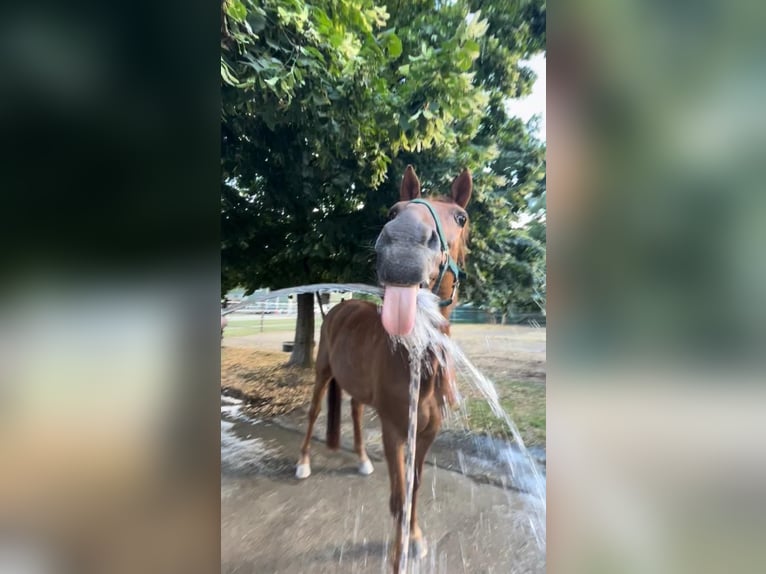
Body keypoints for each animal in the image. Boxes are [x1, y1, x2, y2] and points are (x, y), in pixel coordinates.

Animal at [296, 164, 472, 568]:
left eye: (461, 217)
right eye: (394, 210)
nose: (403, 242)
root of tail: (341, 307)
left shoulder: (427, 433)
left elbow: (415, 485)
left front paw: (415, 537)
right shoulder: (395, 430)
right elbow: (398, 492)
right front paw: (399, 549)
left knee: (356, 414)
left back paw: (362, 460)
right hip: (322, 374)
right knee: (313, 414)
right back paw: (303, 464)